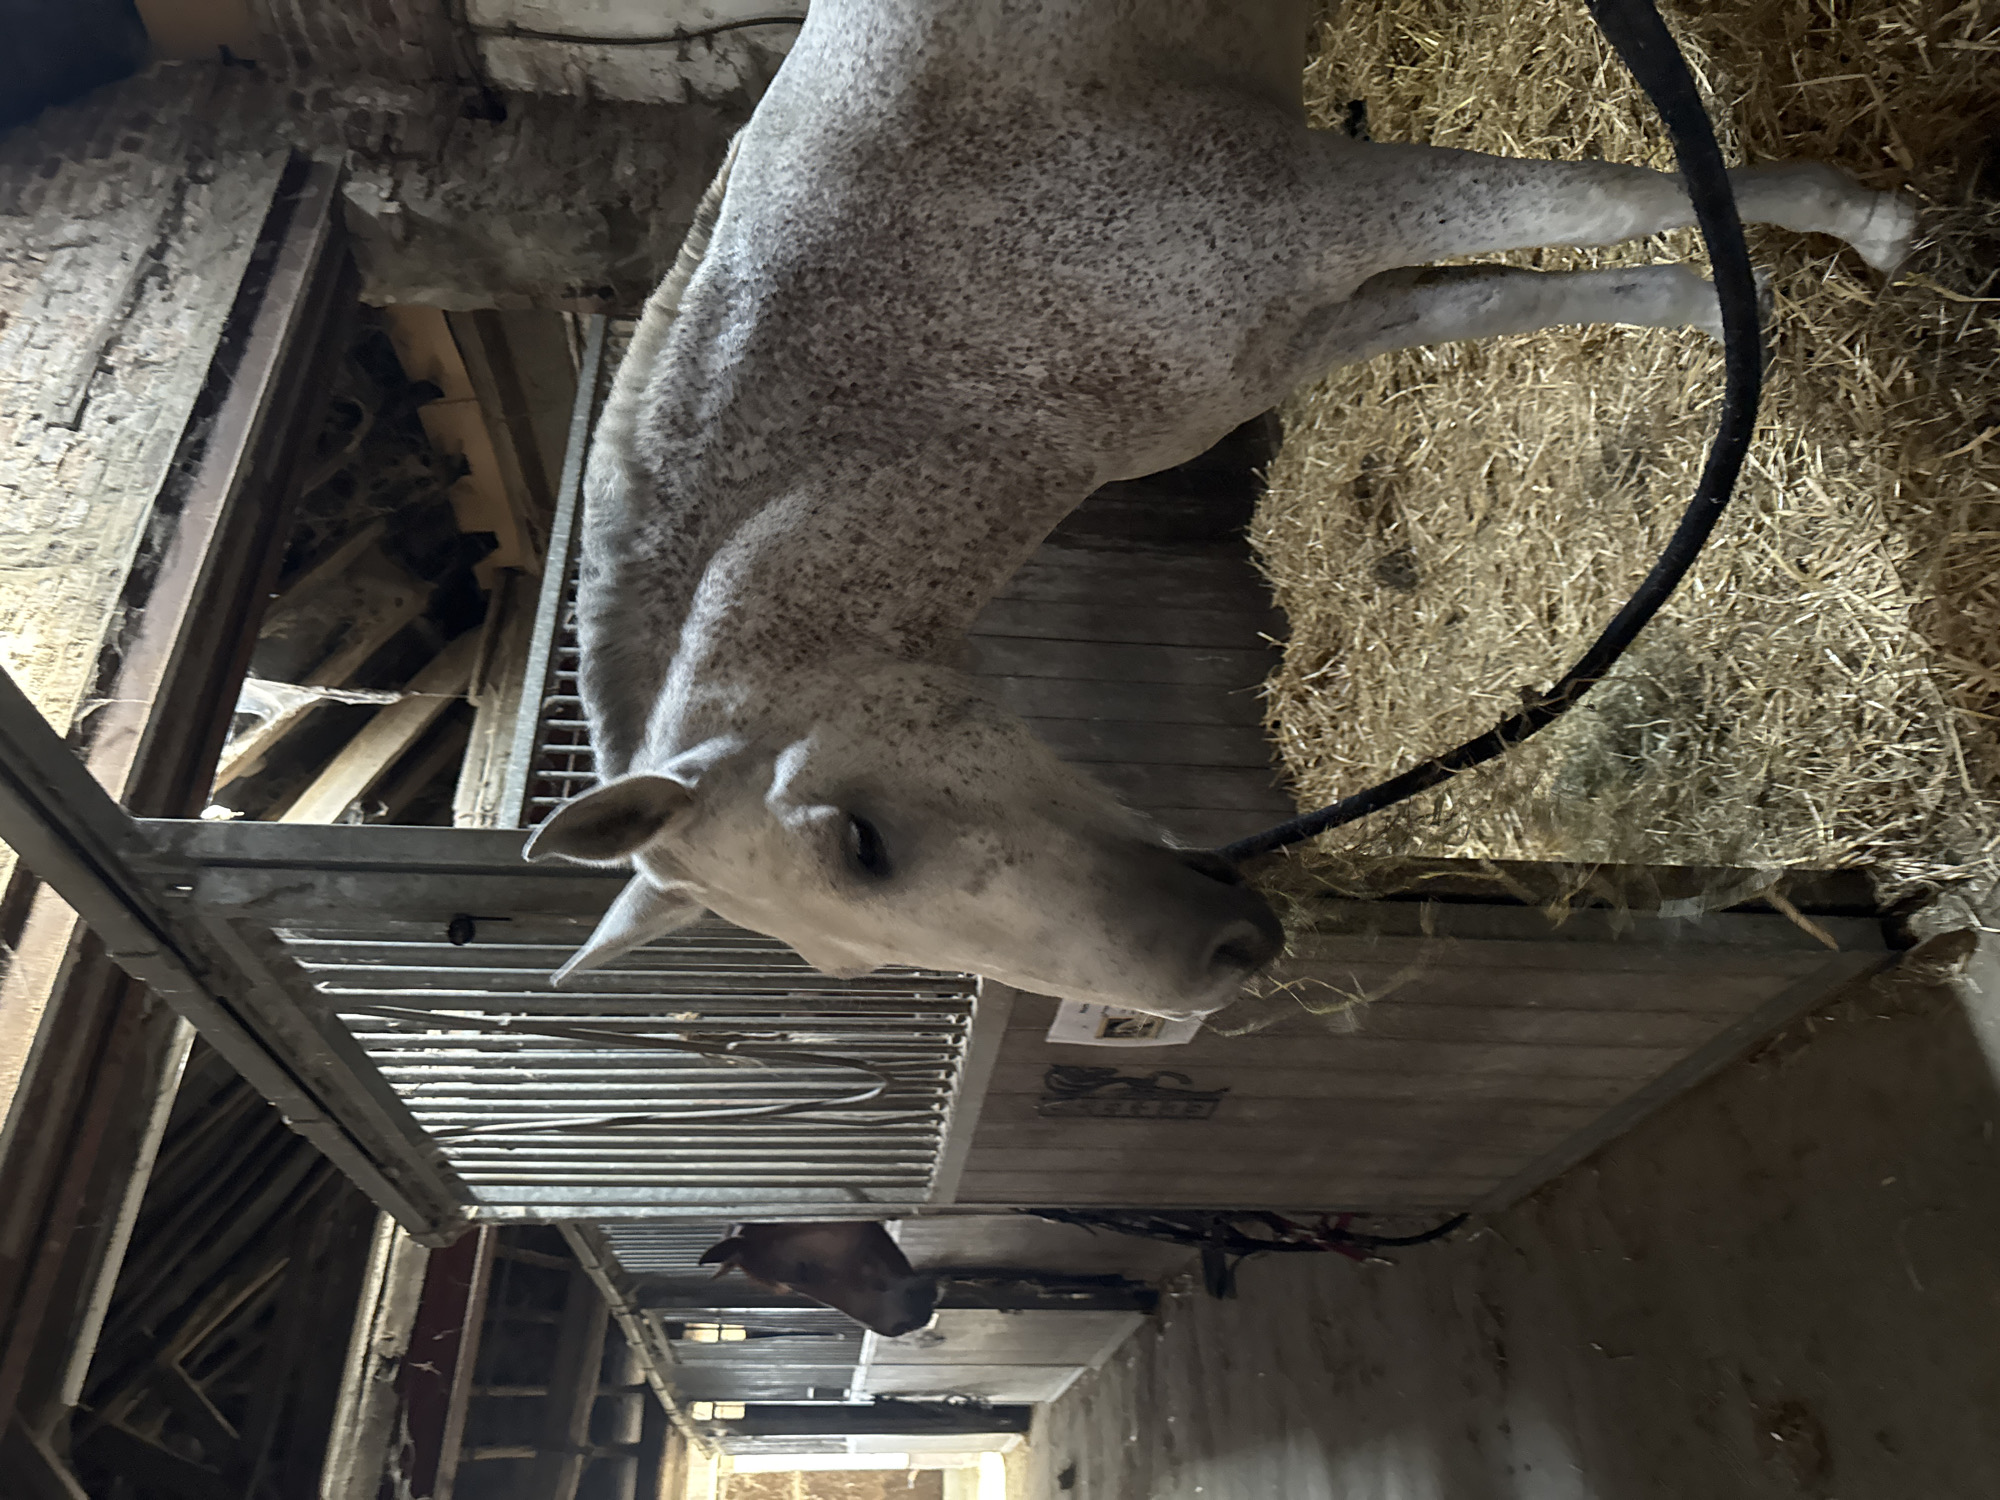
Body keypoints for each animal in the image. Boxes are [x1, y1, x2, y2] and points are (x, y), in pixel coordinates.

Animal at [525, 0, 1914, 1018]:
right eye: (854, 959)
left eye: (862, 845)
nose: (1221, 961)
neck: (915, 350)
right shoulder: (1289, 329)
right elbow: (1519, 289)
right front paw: (1719, 309)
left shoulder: (1322, 197)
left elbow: (1601, 199)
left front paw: (1867, 222)